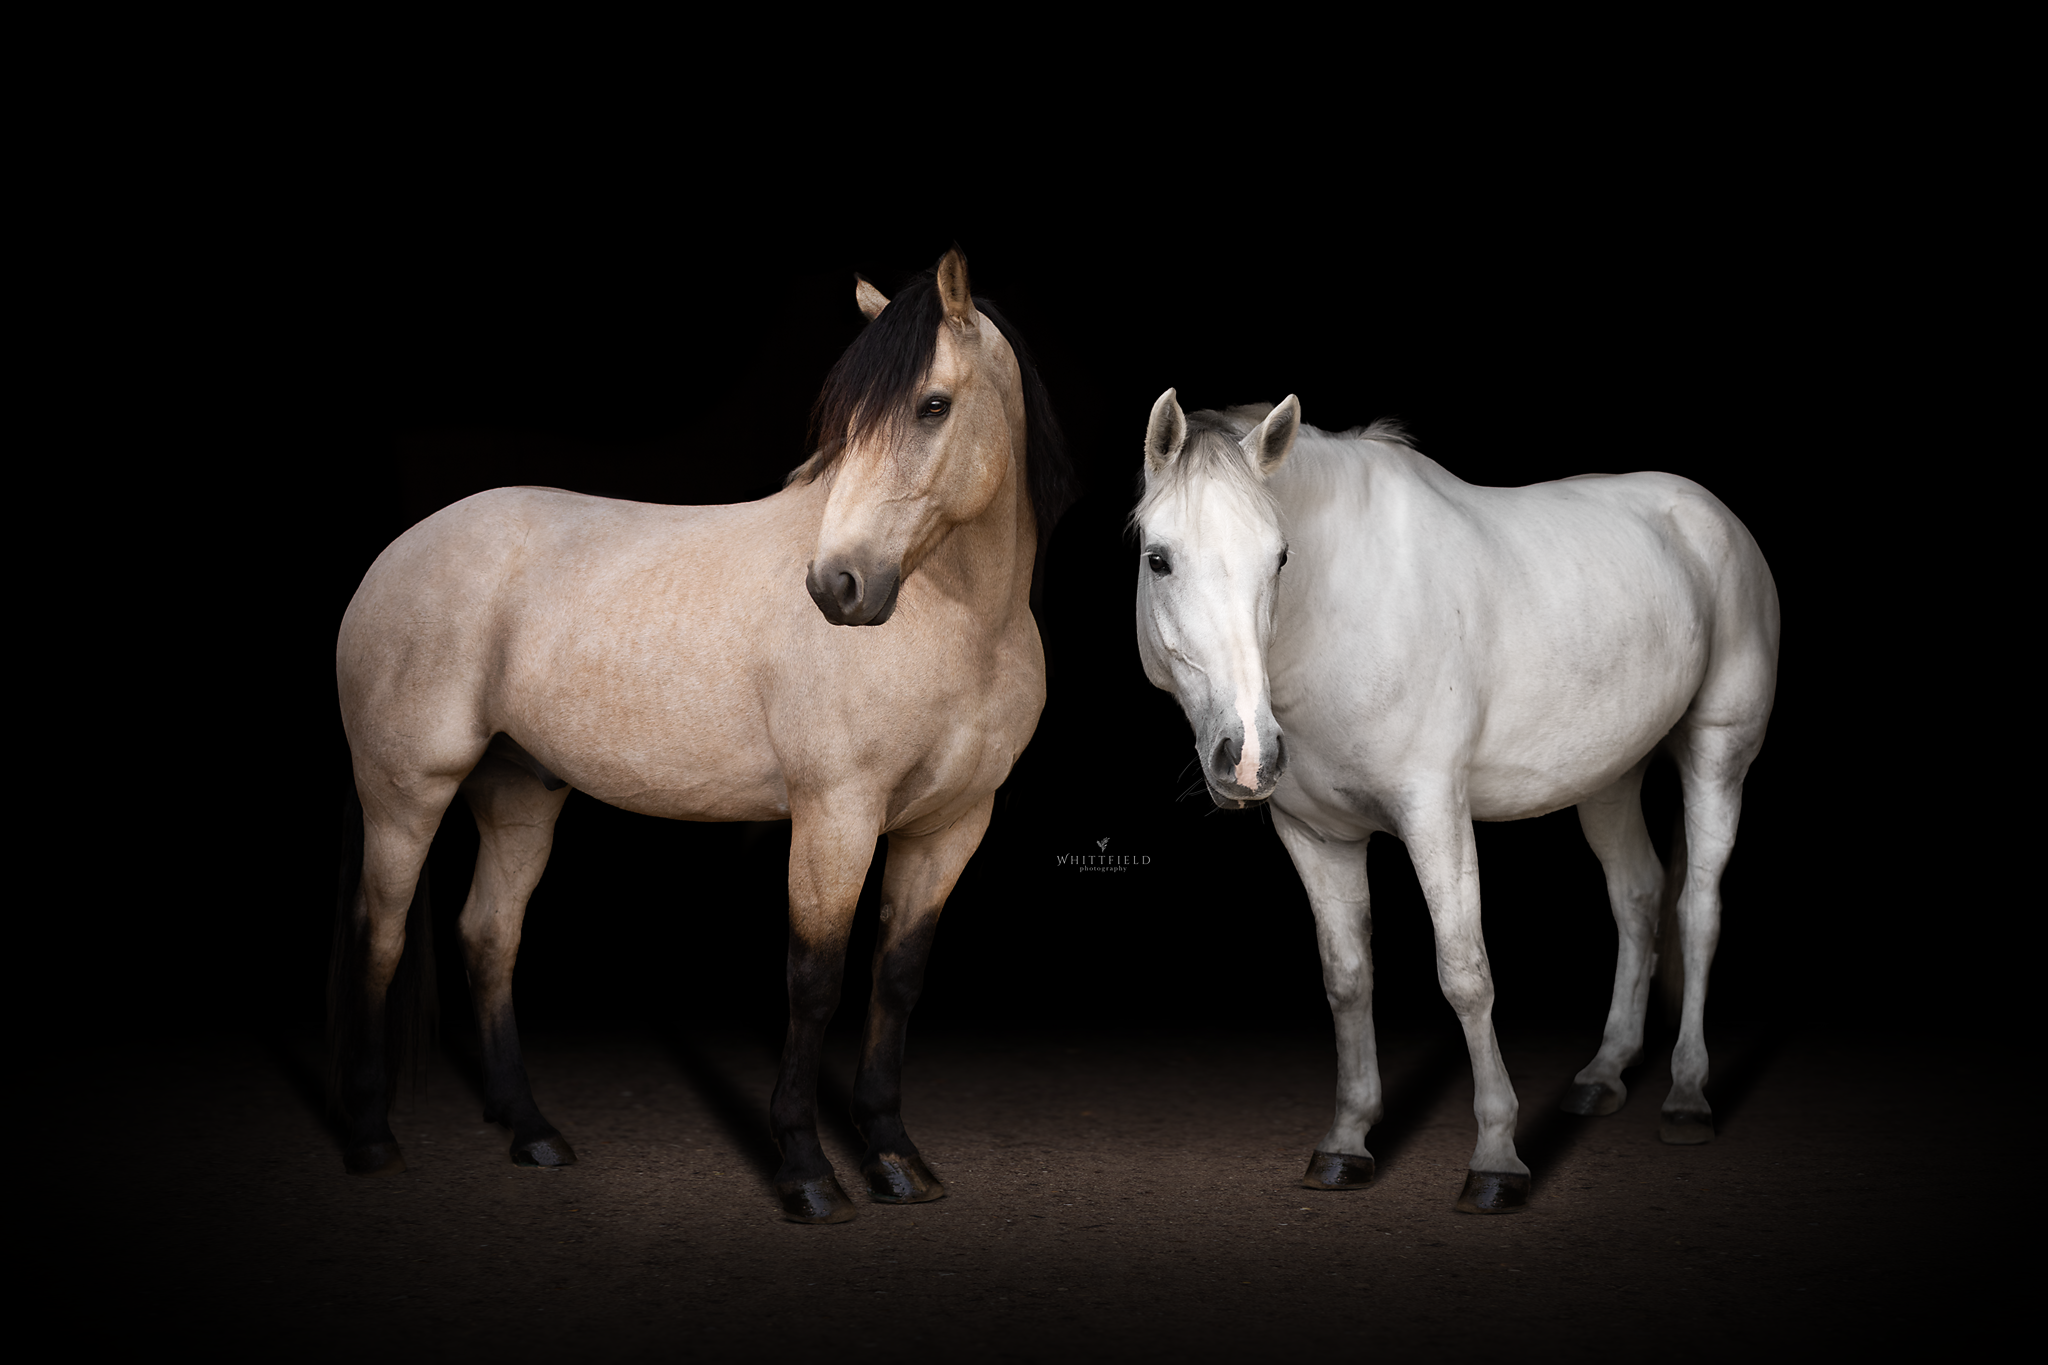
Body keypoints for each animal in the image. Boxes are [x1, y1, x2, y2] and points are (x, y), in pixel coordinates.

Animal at [332, 248, 1074, 1224]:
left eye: (933, 405)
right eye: (848, 427)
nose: (836, 586)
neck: (957, 622)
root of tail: (395, 555)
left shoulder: (951, 826)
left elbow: (898, 978)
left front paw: (895, 1156)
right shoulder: (836, 815)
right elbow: (815, 977)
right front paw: (806, 1171)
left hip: (519, 792)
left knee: (489, 936)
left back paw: (533, 1131)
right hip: (405, 792)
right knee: (377, 934)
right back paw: (370, 1139)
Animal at [1131, 391, 1778, 1213]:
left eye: (1278, 558)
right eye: (1159, 558)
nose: (1247, 756)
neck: (1340, 619)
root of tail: (1711, 513)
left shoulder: (1434, 812)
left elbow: (1465, 974)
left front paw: (1497, 1159)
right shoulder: (1315, 834)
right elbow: (1347, 978)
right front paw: (1346, 1141)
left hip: (1719, 753)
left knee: (1698, 910)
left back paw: (1688, 1096)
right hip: (1609, 776)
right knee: (1636, 896)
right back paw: (1603, 1073)